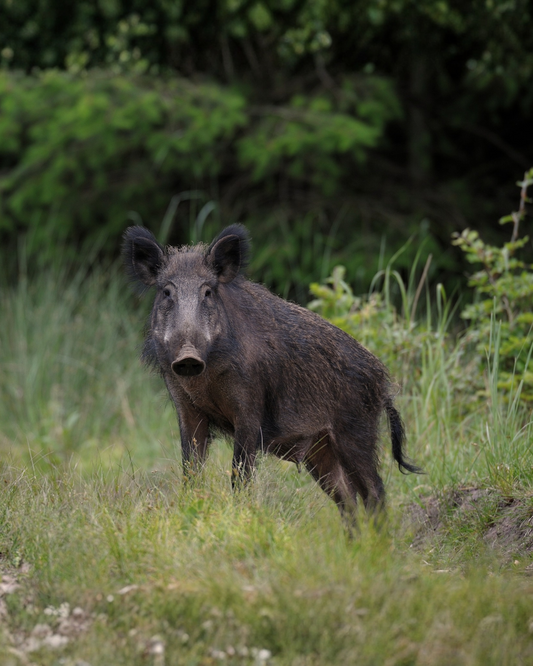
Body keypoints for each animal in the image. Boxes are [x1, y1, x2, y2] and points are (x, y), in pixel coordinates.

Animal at [123, 224, 421, 521]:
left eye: (207, 292)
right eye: (166, 293)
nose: (188, 356)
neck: (205, 380)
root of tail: (382, 380)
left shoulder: (250, 409)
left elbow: (240, 474)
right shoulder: (186, 408)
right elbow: (191, 471)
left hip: (356, 430)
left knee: (374, 492)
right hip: (320, 449)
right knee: (347, 500)